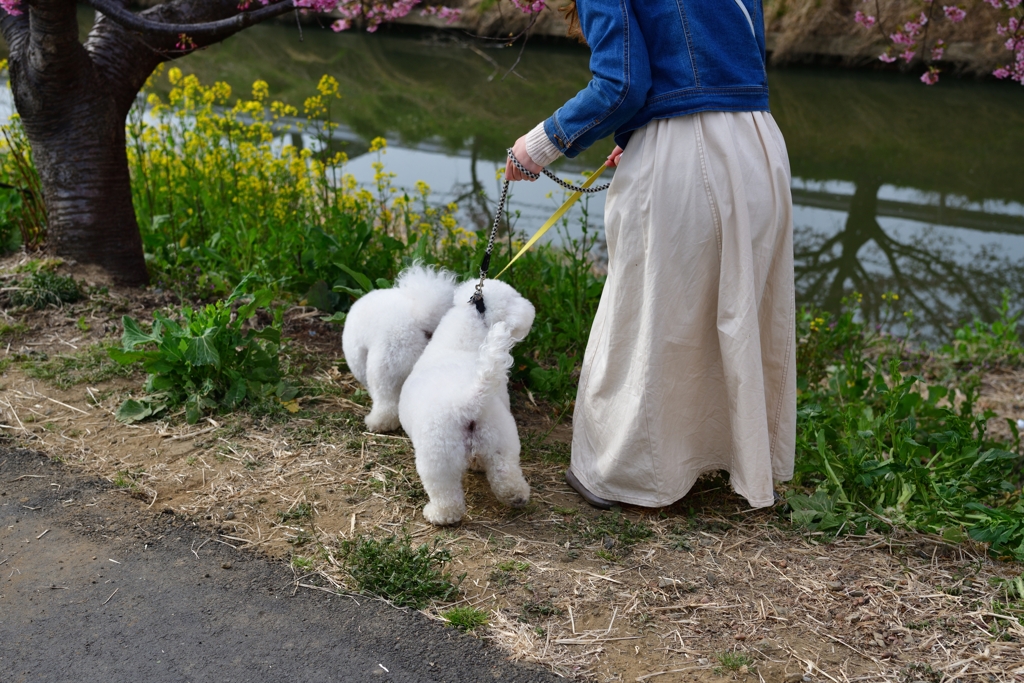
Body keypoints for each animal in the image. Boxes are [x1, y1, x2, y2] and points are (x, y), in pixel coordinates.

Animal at [397, 280, 536, 528]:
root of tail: (469, 401)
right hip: (501, 441)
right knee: (507, 475)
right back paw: (516, 497)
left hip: (438, 459)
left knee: (447, 496)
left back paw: (438, 515)